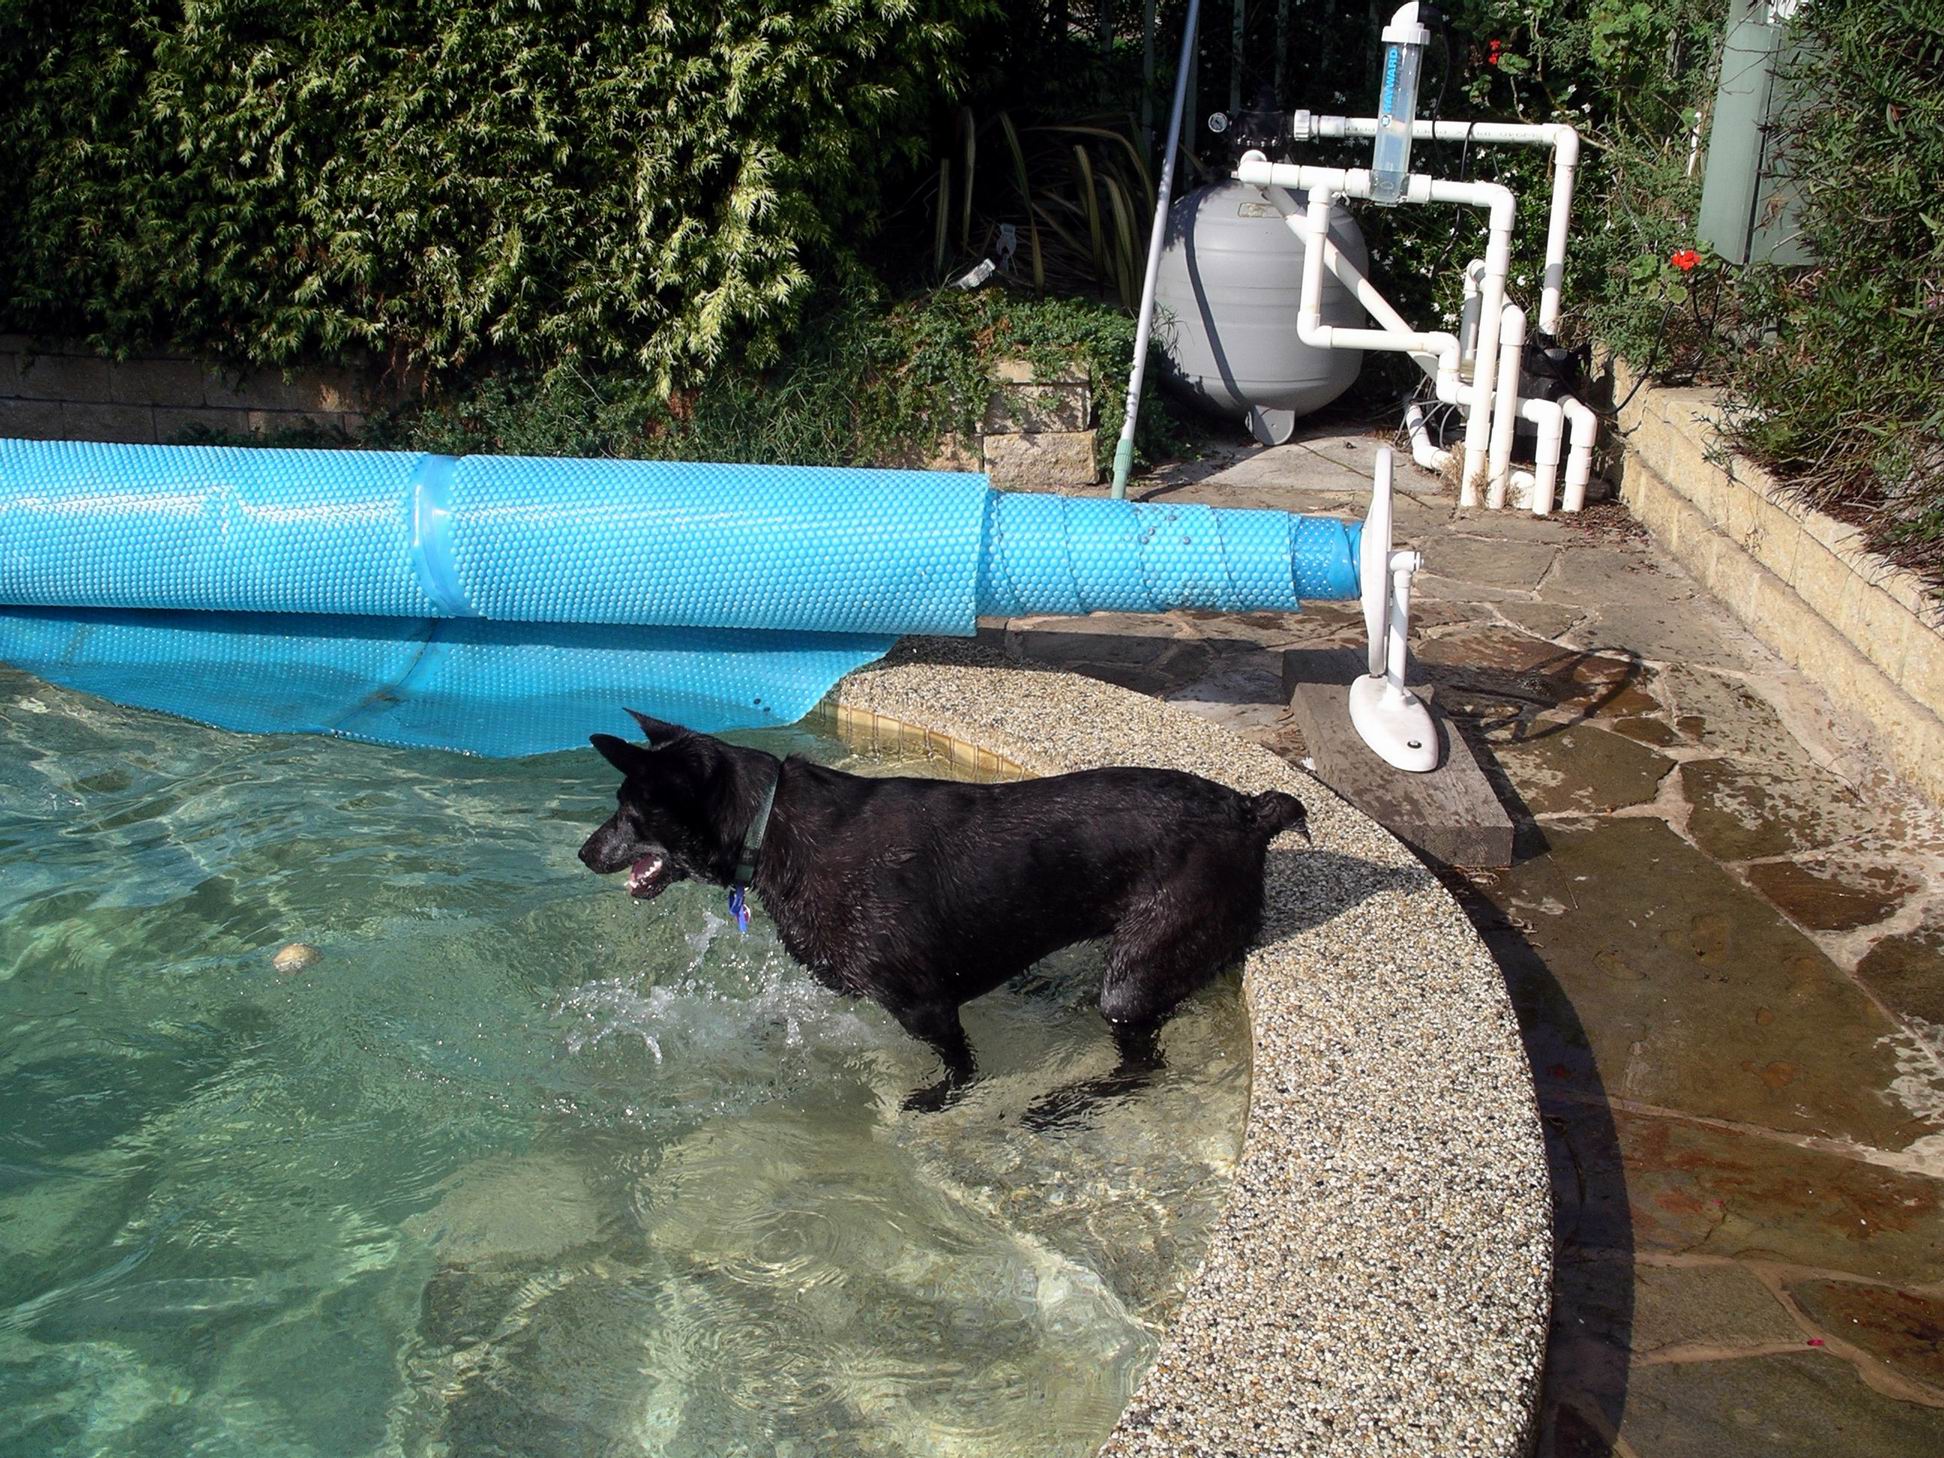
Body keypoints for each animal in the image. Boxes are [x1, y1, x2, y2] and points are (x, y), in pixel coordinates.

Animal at [578, 711, 1307, 1115]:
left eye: (629, 809)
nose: (584, 852)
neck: (770, 824)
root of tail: (1249, 811)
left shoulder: (924, 1005)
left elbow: (962, 1070)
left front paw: (935, 1101)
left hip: (1134, 979)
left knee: (1143, 1066)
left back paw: (1063, 1103)